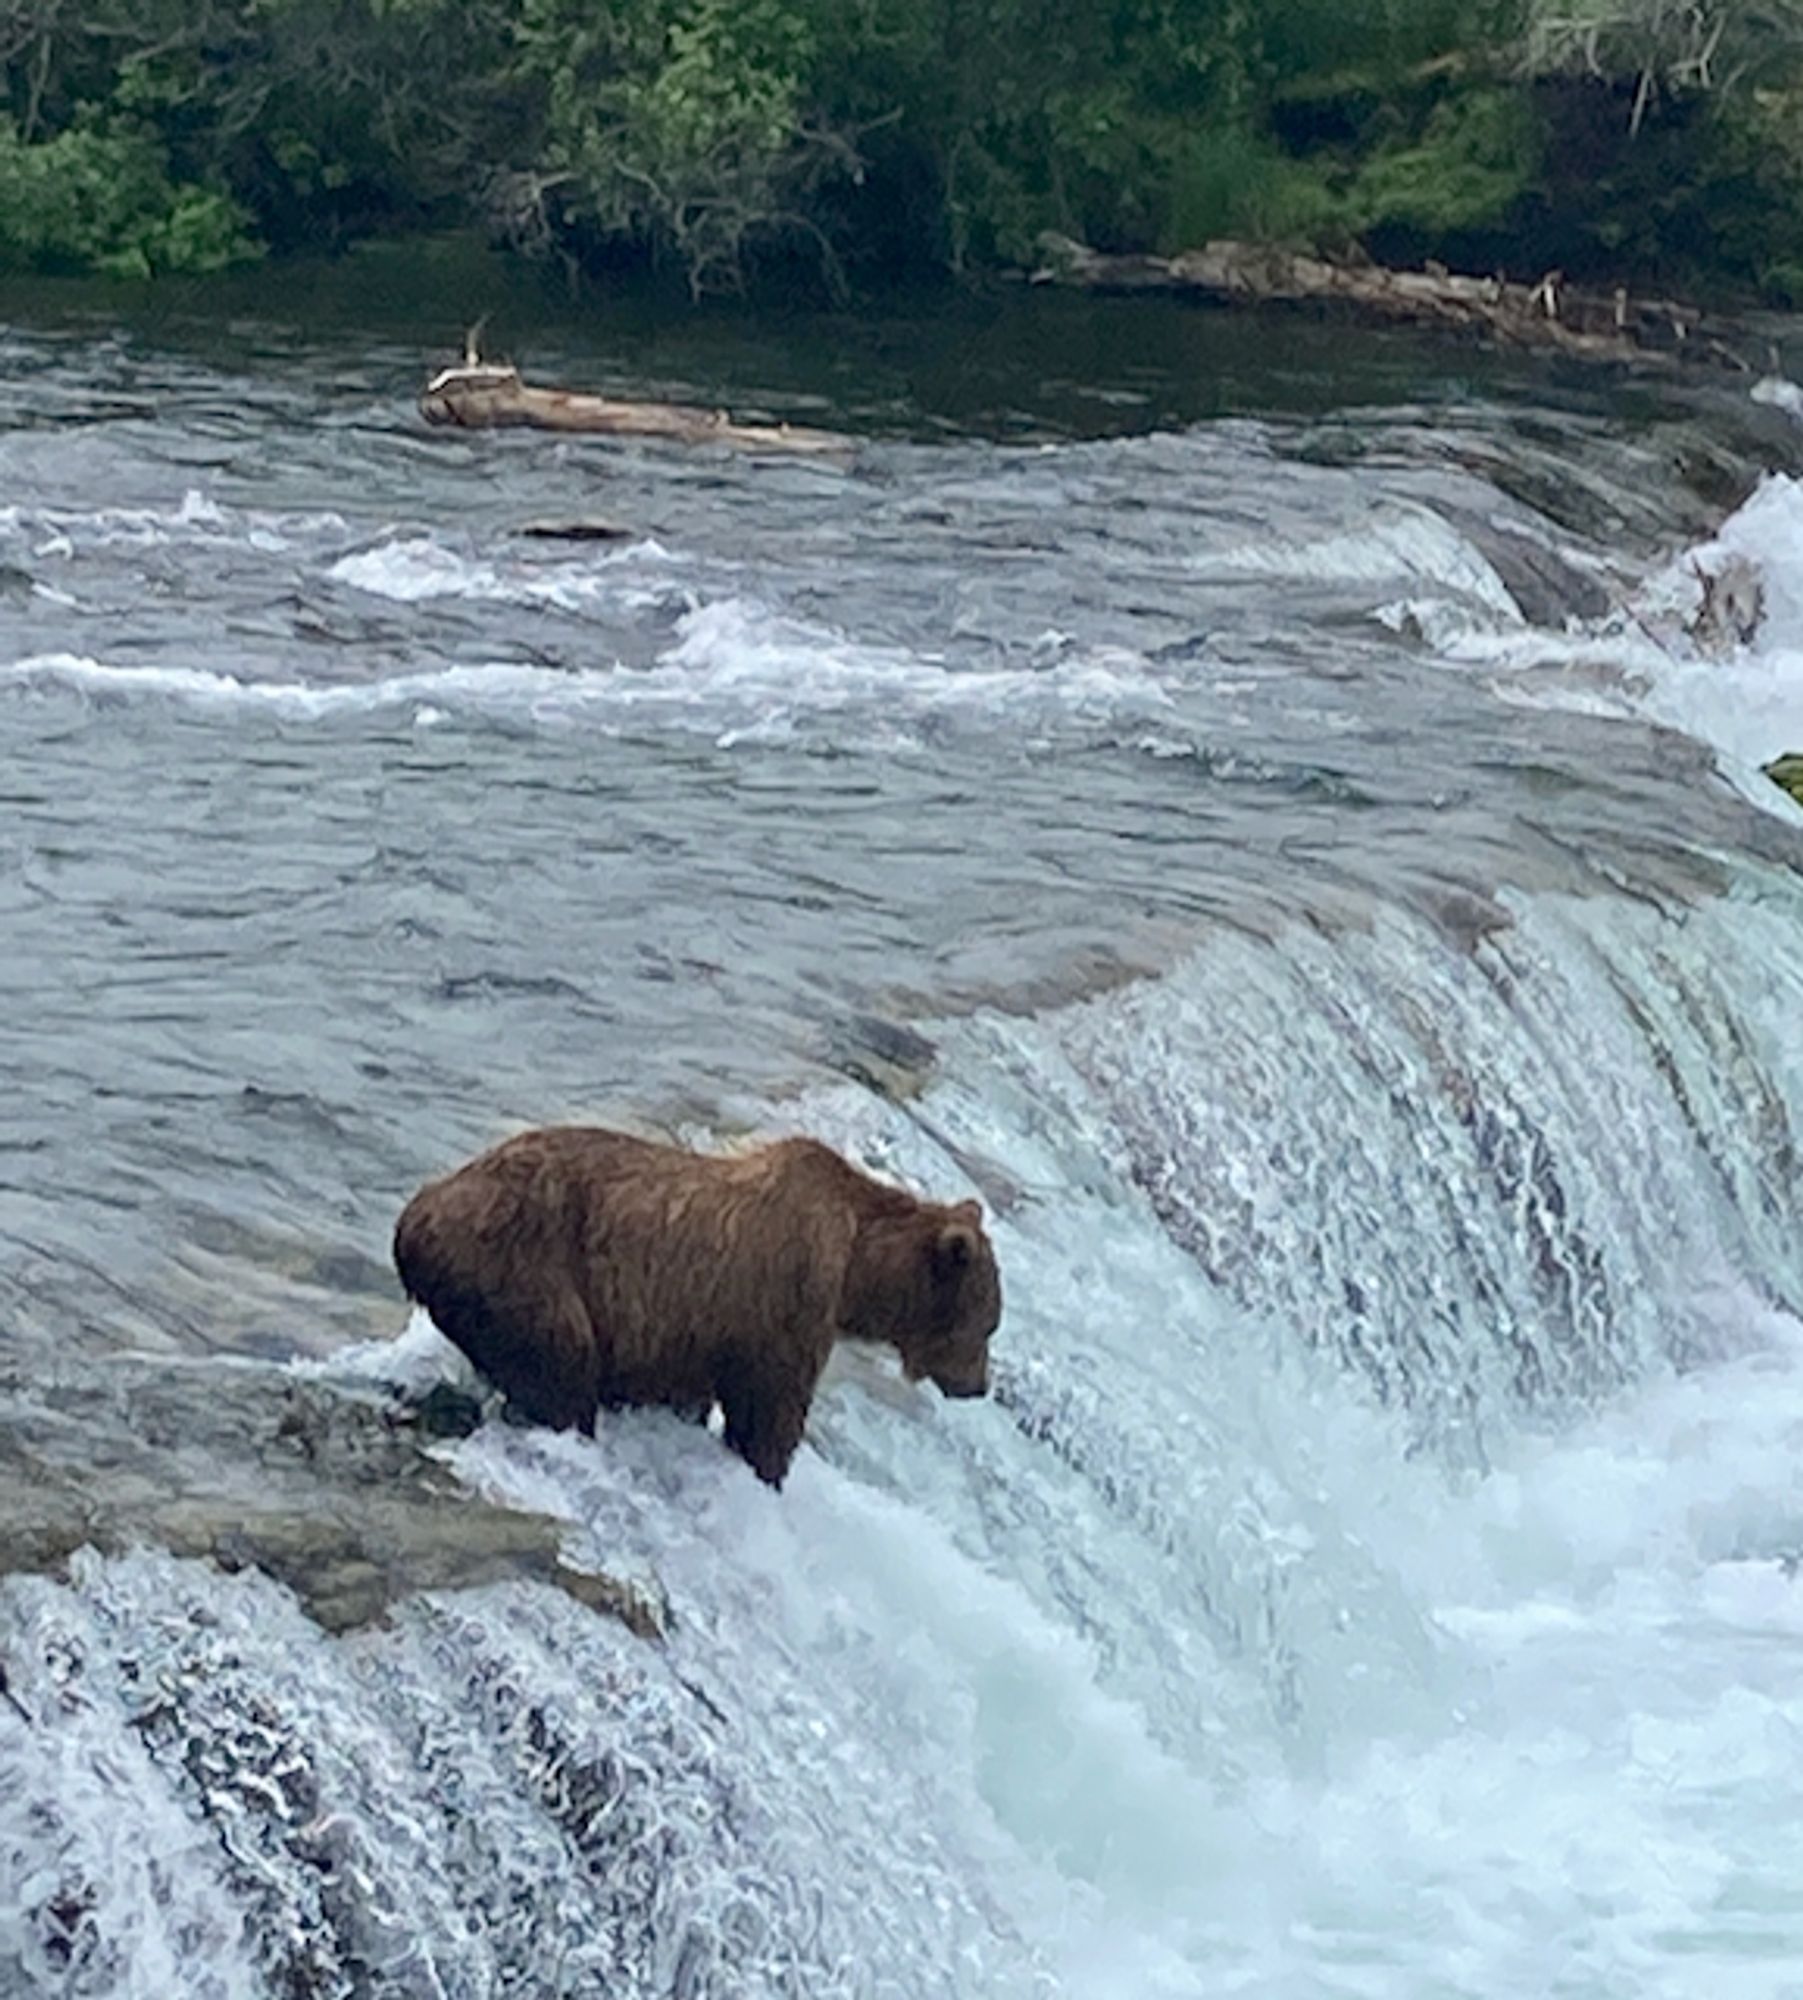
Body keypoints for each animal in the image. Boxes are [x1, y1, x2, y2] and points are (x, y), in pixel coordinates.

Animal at [391, 1128, 1003, 1488]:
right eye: (989, 1325)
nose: (979, 1385)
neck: (858, 1265)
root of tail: (413, 1216)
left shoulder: (684, 1332)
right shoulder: (786, 1302)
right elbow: (770, 1411)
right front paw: (766, 1468)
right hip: (520, 1263)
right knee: (561, 1367)